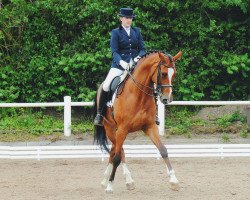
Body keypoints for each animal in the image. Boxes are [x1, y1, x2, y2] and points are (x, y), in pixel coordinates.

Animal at [94, 50, 182, 193]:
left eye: (174, 74)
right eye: (163, 73)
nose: (166, 99)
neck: (139, 95)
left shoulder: (150, 127)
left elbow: (163, 150)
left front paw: (174, 181)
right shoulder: (122, 129)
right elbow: (118, 157)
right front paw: (110, 186)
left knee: (114, 150)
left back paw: (112, 180)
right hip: (111, 129)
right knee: (118, 152)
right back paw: (118, 181)